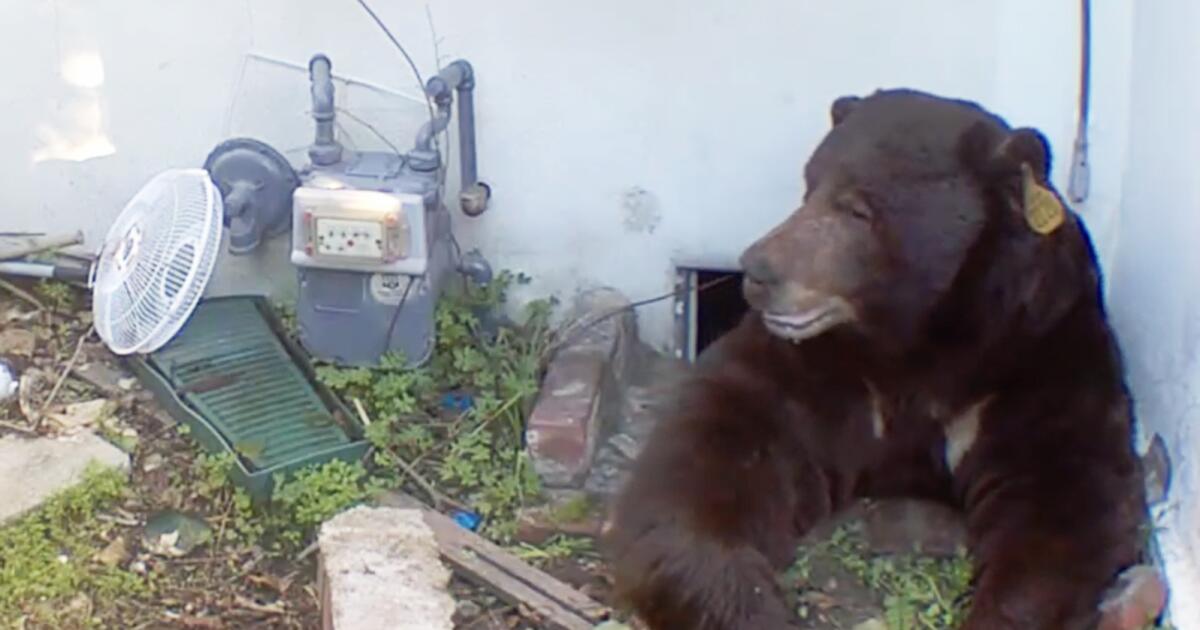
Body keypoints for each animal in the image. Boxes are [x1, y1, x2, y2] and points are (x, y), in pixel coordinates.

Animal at [602, 88, 1149, 630]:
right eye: (808, 187)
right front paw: (752, 604)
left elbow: (1063, 501)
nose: (757, 270)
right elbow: (709, 462)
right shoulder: (817, 372)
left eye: (858, 209)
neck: (920, 342)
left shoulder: (1037, 357)